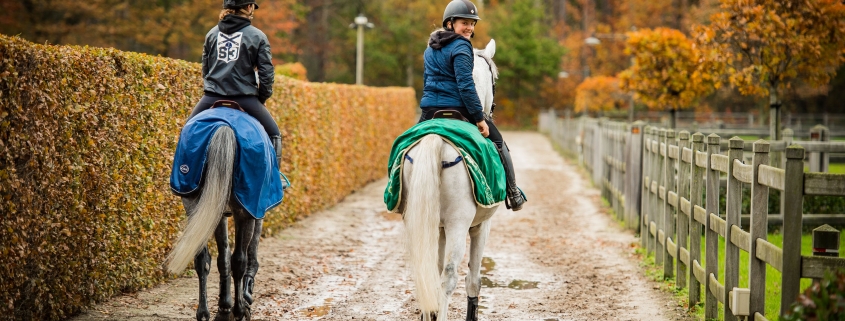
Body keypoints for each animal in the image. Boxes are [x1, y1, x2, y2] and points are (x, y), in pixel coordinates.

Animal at [166, 125, 262, 320]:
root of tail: (224, 128)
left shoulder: (218, 213)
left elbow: (222, 258)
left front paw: (224, 307)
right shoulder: (254, 208)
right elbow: (247, 250)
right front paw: (243, 299)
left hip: (195, 204)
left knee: (202, 258)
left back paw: (204, 312)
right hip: (243, 212)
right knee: (239, 260)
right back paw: (239, 309)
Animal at [400, 39, 494, 320]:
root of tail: (435, 138)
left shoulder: (438, 226)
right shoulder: (480, 226)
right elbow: (473, 279)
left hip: (419, 219)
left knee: (427, 272)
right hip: (458, 224)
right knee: (449, 277)